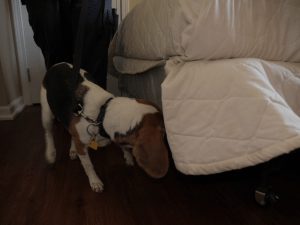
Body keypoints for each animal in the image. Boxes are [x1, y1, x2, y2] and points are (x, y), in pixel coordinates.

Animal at [40, 62, 169, 192]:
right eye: (164, 133)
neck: (102, 113)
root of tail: (58, 64)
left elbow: (123, 146)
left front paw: (128, 156)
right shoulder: (82, 146)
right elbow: (88, 165)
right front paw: (95, 181)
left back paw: (72, 149)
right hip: (47, 114)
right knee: (48, 133)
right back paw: (51, 153)